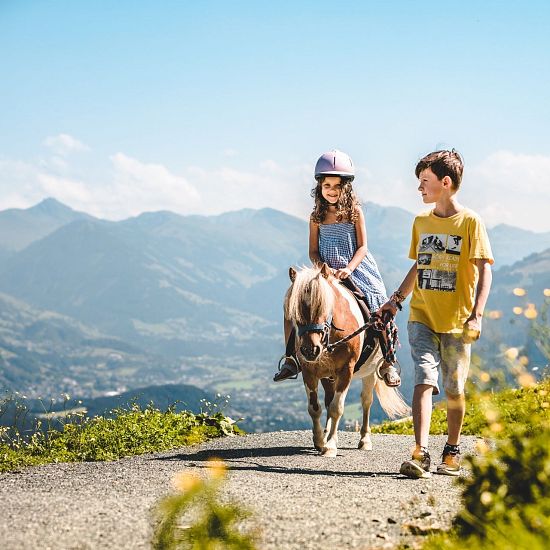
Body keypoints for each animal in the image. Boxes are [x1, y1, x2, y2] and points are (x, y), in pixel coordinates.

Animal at [286, 266, 412, 460]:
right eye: (294, 311)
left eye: (323, 307)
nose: (309, 350)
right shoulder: (309, 372)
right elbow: (315, 408)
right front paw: (320, 441)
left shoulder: (346, 370)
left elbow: (337, 408)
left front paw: (330, 446)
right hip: (328, 376)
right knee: (328, 400)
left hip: (369, 373)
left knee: (366, 401)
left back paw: (364, 440)